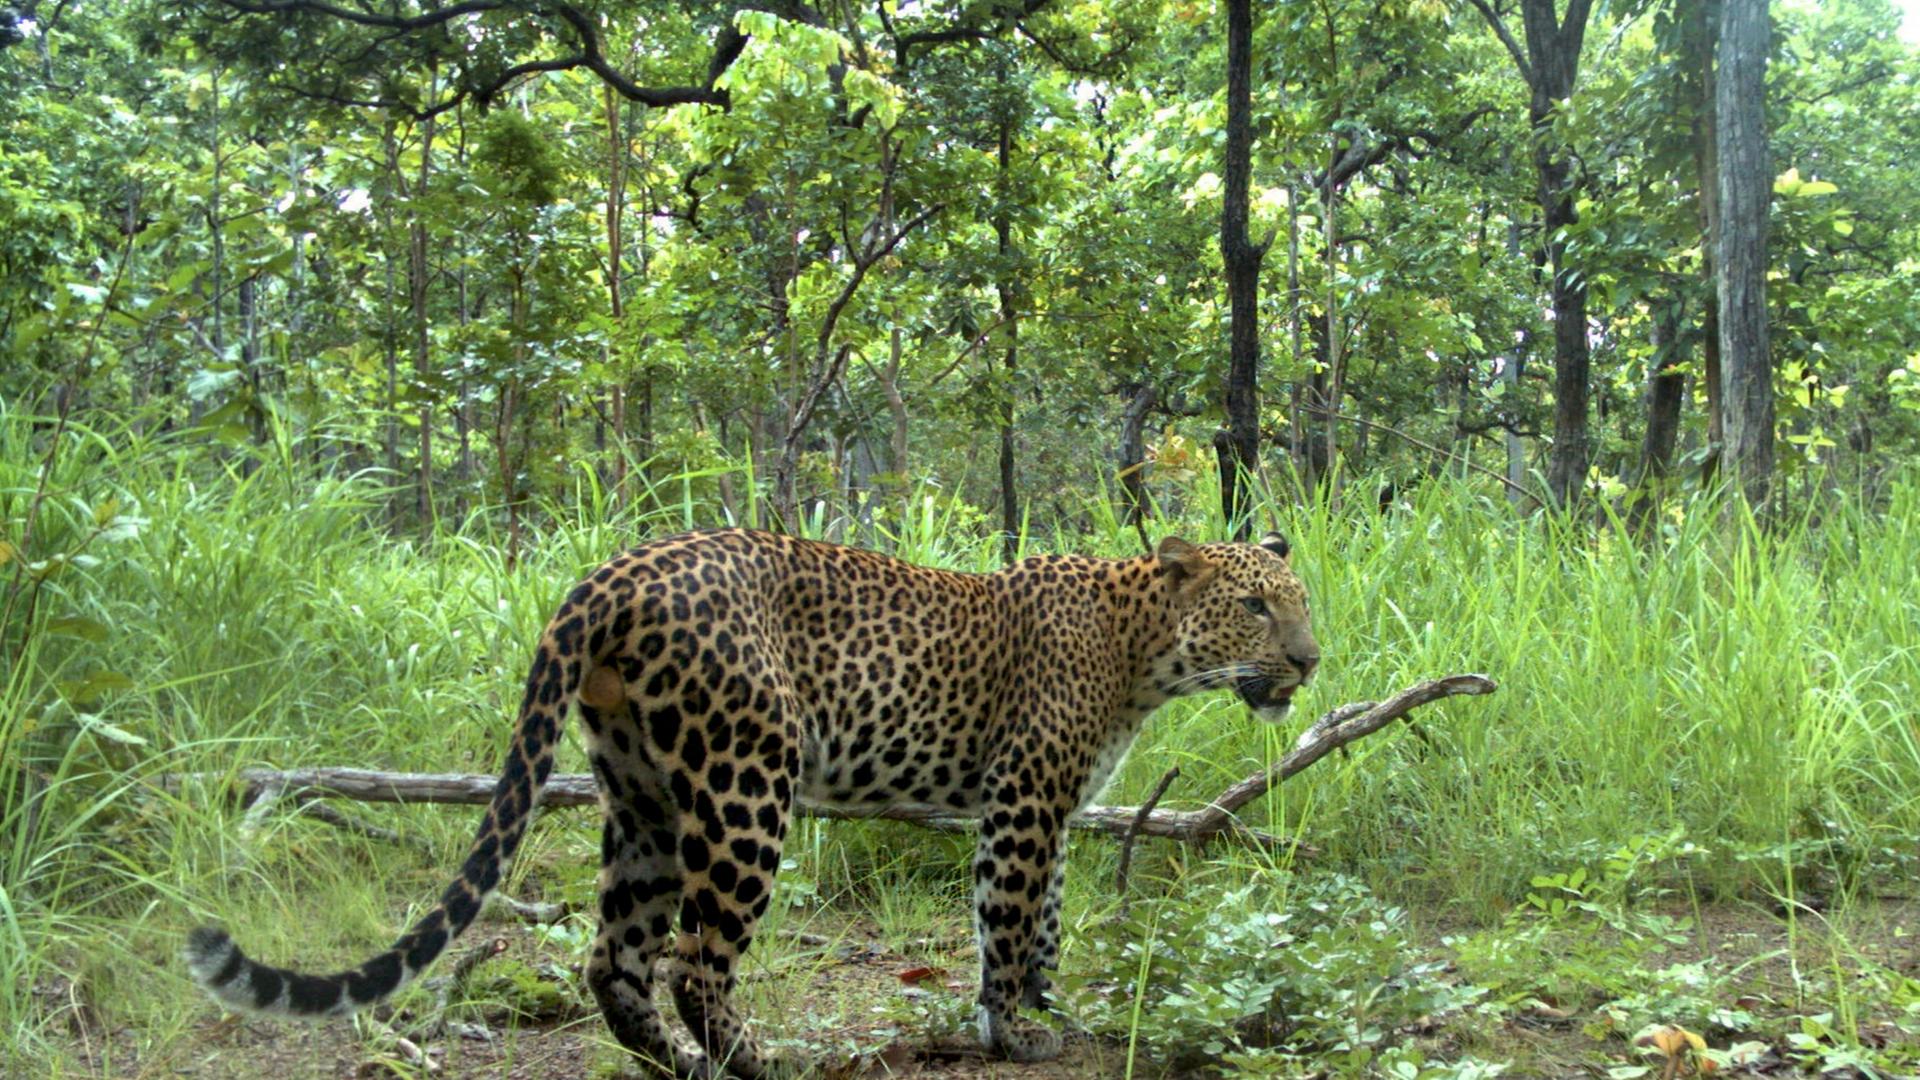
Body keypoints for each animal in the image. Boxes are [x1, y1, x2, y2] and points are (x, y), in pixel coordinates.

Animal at [186, 527, 1319, 1078]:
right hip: (745, 785)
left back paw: (684, 1068)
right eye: (1254, 606)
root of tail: (604, 576)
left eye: (1298, 604)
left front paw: (1045, 1008)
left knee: (614, 960)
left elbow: (1042, 916)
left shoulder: (1059, 801)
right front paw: (1014, 1029)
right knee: (696, 959)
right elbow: (1005, 914)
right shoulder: (1026, 796)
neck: (1145, 655)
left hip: (640, 794)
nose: (1310, 660)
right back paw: (754, 1061)